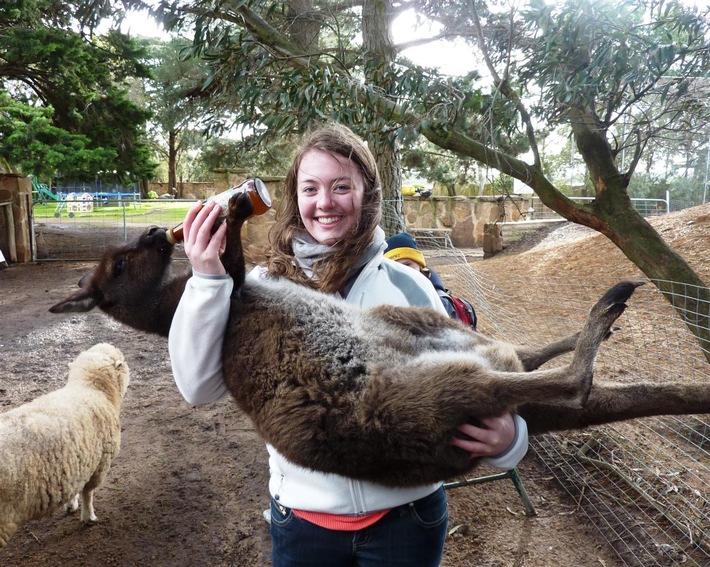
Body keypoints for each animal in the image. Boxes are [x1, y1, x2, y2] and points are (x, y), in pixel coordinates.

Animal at [0, 344, 129, 548]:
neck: (90, 388)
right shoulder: (99, 463)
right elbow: (88, 492)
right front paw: (89, 517)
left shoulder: (75, 461)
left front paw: (71, 504)